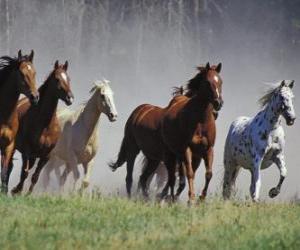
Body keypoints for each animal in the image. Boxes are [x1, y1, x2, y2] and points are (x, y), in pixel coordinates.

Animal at [0, 49, 39, 193]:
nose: (35, 97)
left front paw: (4, 192)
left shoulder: (9, 145)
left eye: (34, 72)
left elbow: (4, 171)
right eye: (22, 74)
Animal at [11, 61, 74, 195]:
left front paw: (27, 194)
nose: (70, 98)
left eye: (69, 78)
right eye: (57, 79)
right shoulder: (27, 152)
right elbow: (24, 173)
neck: (45, 126)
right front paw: (17, 191)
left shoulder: (46, 156)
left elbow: (35, 176)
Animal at [110, 63, 223, 201]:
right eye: (207, 82)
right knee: (130, 177)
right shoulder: (184, 151)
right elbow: (187, 175)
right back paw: (132, 198)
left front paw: (200, 198)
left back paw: (147, 198)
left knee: (144, 178)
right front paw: (189, 199)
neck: (199, 122)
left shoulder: (205, 150)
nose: (218, 104)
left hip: (153, 158)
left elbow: (207, 174)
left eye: (220, 81)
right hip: (133, 149)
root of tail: (138, 111)